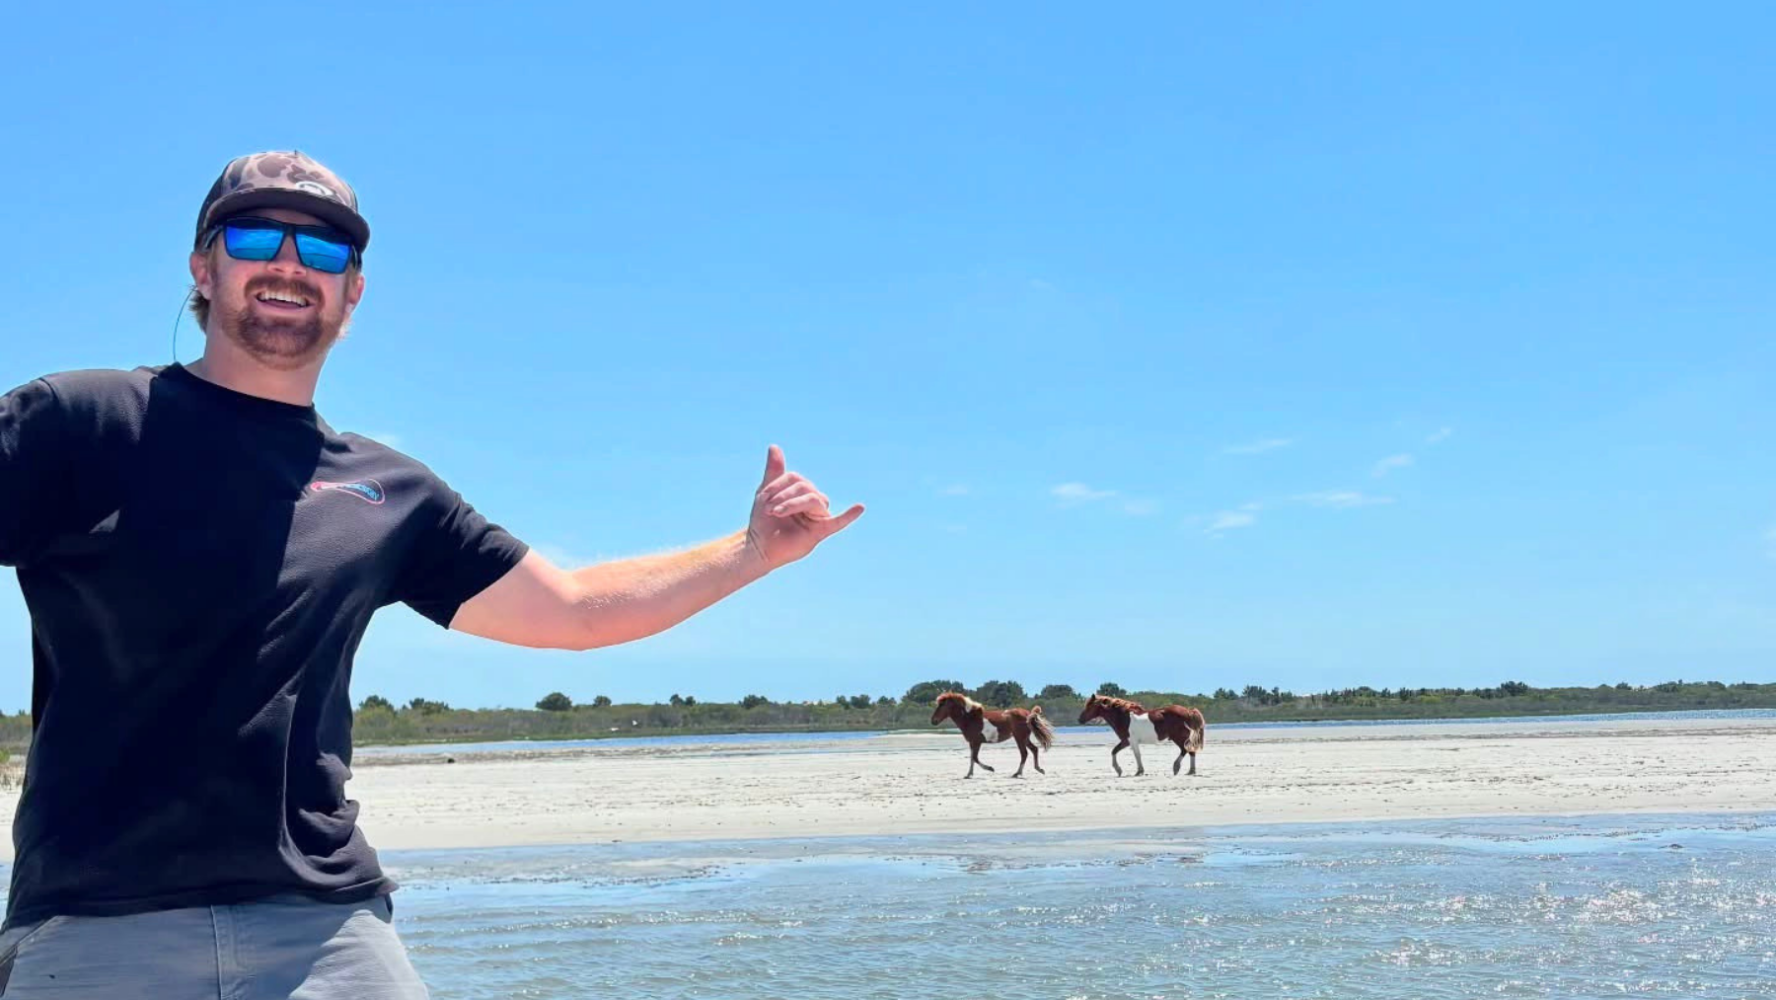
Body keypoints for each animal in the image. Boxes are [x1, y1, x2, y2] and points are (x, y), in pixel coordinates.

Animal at [1077, 693, 1206, 777]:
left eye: (1090, 706)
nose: (1080, 720)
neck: (1123, 717)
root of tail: (1188, 711)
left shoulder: (1131, 741)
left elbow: (1136, 755)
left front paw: (1137, 771)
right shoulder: (1126, 741)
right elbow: (1114, 751)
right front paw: (1119, 770)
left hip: (1178, 737)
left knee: (1186, 750)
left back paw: (1179, 768)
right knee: (1189, 751)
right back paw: (1189, 770)